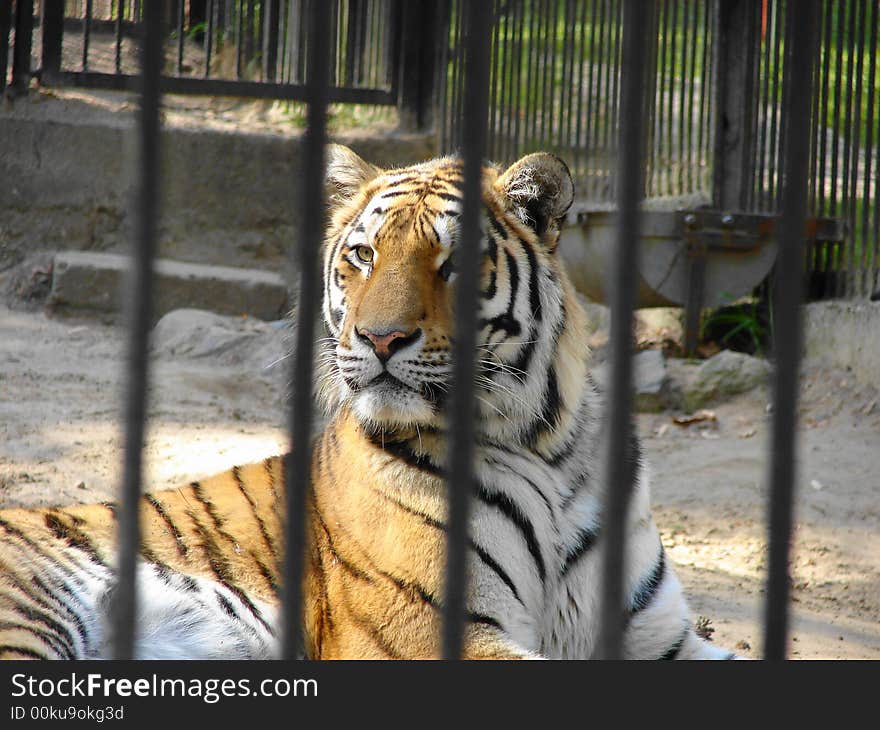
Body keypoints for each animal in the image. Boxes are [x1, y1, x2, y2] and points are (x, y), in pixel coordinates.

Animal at [0, 145, 740, 656]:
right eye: (363, 254)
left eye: (455, 263)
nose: (381, 338)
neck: (544, 444)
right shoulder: (430, 629)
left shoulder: (659, 635)